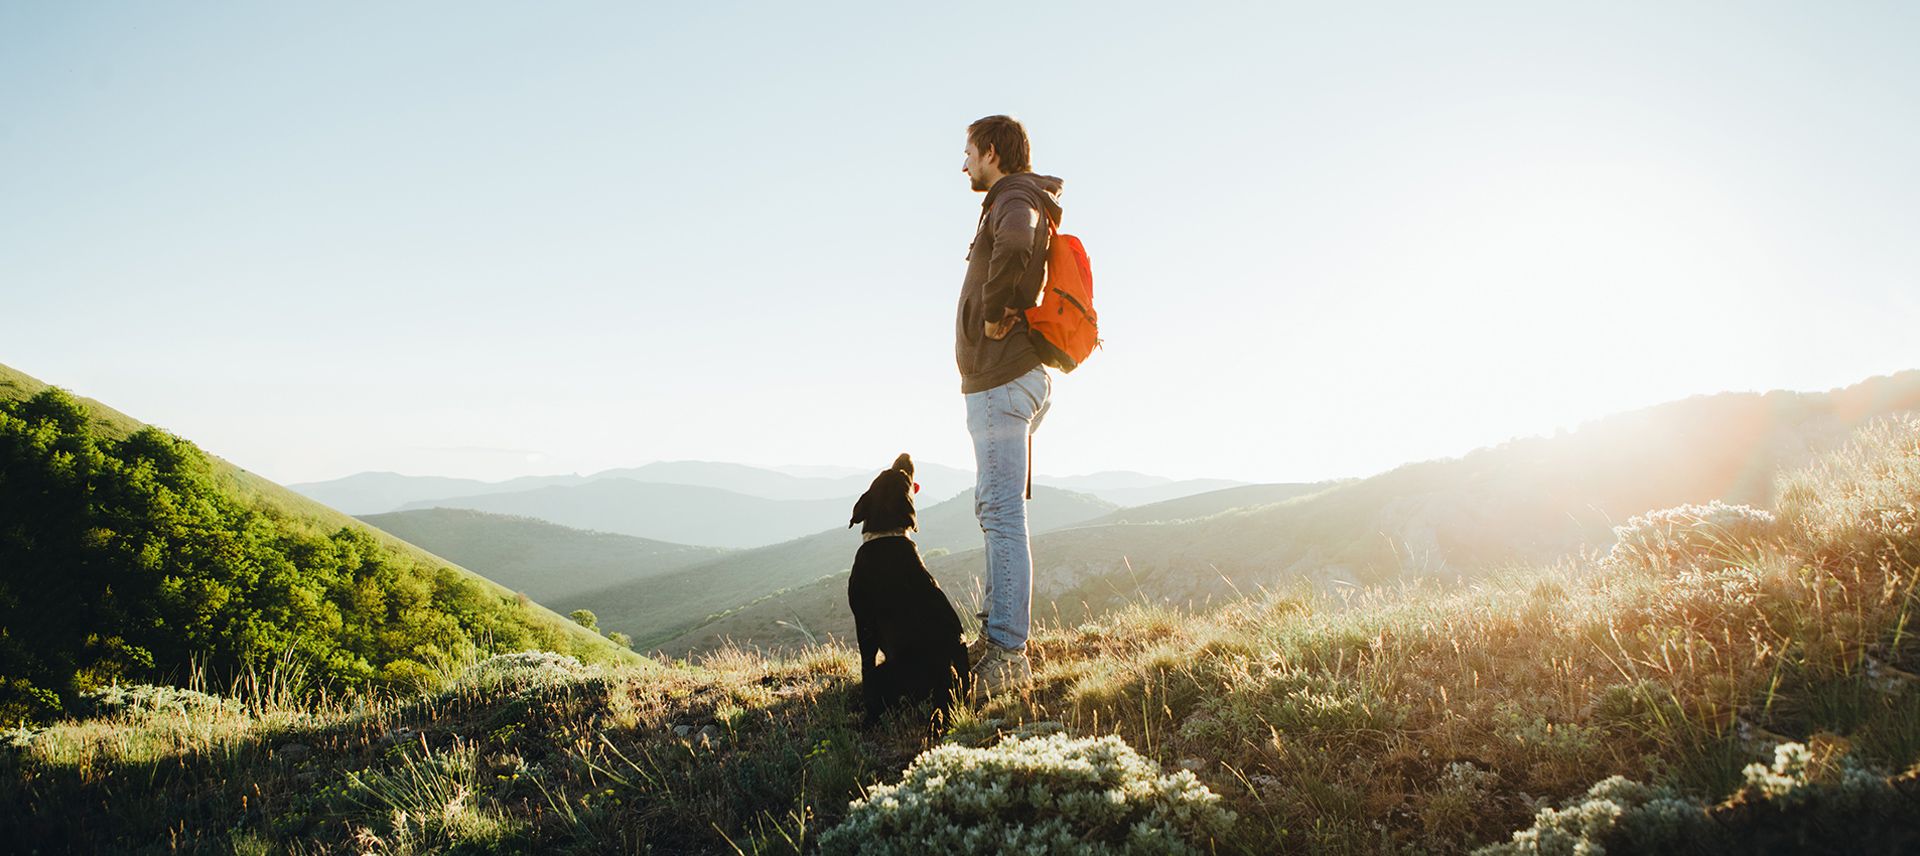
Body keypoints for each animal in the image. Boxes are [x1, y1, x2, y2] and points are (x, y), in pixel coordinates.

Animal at [848, 451, 967, 725]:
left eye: (902, 473)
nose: (905, 455)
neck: (886, 534)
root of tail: (944, 675)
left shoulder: (864, 623)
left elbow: (866, 664)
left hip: (885, 673)